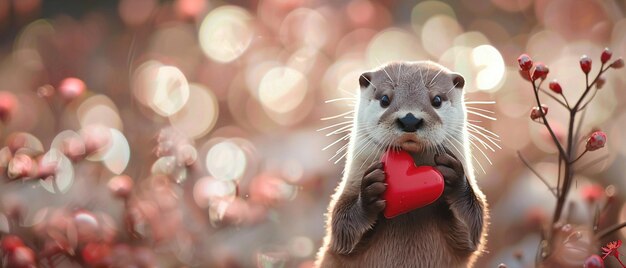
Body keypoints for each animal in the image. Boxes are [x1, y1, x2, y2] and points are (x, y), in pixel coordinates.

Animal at [314, 61, 486, 268]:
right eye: (385, 99)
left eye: (437, 99)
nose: (410, 119)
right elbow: (341, 227)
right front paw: (370, 190)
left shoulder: (466, 241)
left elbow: (472, 231)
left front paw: (455, 178)